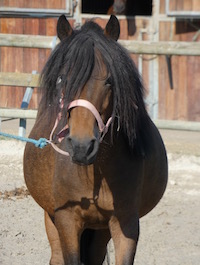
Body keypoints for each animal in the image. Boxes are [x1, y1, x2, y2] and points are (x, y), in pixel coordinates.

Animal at [23, 15, 167, 262]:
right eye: (61, 79)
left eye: (110, 81)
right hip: (51, 218)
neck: (96, 174)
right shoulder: (66, 221)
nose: (82, 147)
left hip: (100, 230)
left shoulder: (125, 223)